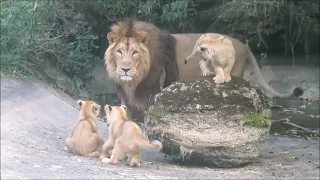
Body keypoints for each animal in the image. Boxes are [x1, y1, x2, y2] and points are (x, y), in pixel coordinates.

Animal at [105, 19, 302, 114]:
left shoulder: (151, 96)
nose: (125, 69)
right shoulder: (125, 100)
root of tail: (245, 46)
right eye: (119, 52)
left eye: (135, 53)